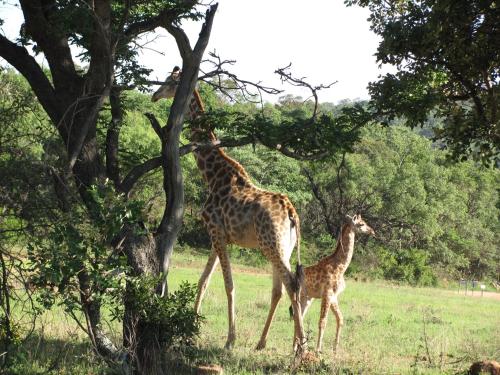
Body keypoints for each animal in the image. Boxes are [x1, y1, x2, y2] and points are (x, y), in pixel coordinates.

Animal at [152, 67, 306, 352]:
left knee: (291, 284)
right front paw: (191, 327)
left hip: (271, 245)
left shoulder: (217, 233)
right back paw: (268, 343)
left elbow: (229, 285)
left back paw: (300, 347)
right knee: (283, 288)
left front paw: (230, 339)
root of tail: (292, 214)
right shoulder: (218, 236)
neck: (212, 176)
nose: (155, 94)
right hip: (284, 248)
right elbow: (203, 281)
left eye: (168, 82)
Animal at [294, 214, 374, 356]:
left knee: (299, 317)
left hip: (307, 298)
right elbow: (322, 321)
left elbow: (340, 319)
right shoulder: (327, 293)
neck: (341, 267)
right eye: (361, 224)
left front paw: (335, 350)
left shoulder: (334, 296)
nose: (372, 231)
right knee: (296, 317)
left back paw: (297, 347)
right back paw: (297, 347)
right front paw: (318, 350)